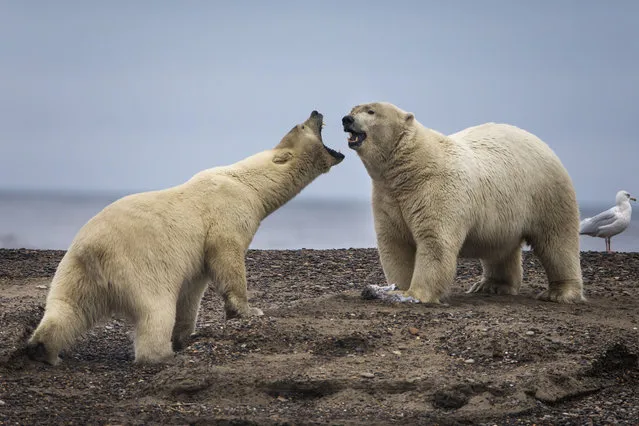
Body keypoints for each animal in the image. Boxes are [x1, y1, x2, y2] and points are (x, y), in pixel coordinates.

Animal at [26, 110, 344, 366]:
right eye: (301, 125)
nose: (316, 111)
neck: (246, 181)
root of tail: (94, 252)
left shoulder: (196, 259)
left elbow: (192, 290)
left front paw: (184, 334)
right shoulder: (228, 213)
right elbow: (227, 257)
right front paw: (249, 310)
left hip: (74, 271)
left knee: (66, 309)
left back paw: (44, 350)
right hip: (139, 268)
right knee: (155, 311)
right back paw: (162, 355)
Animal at [344, 101, 584, 304]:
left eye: (371, 111)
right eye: (353, 108)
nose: (346, 119)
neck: (411, 165)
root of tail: (541, 143)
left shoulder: (436, 189)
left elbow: (435, 242)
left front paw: (415, 294)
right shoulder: (388, 196)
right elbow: (395, 242)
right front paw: (398, 288)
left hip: (546, 193)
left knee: (557, 240)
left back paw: (560, 293)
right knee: (500, 248)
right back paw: (491, 286)